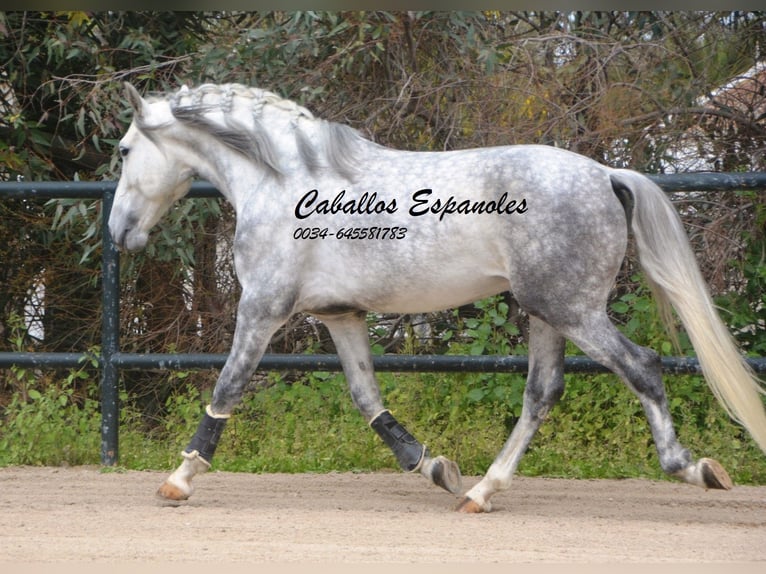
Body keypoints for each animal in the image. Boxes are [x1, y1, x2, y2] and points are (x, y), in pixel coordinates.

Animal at [109, 82, 766, 512]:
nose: (118, 232)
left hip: (574, 311)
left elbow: (227, 389)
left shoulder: (263, 309)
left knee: (642, 367)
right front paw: (434, 468)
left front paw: (180, 479)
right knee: (542, 393)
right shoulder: (340, 315)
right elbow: (367, 399)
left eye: (123, 151)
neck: (284, 180)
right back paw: (479, 492)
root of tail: (607, 174)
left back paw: (693, 468)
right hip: (546, 313)